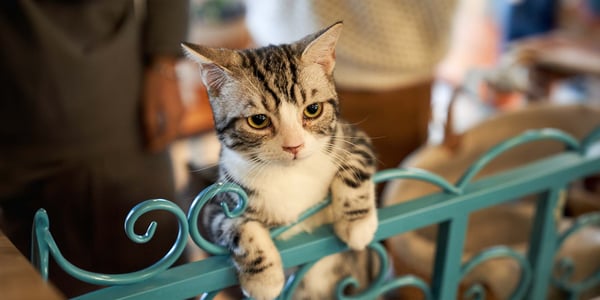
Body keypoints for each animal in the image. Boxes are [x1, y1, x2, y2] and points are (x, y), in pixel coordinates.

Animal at [183, 22, 380, 298]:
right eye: (258, 120)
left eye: (313, 109)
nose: (294, 145)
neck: (290, 174)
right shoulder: (217, 204)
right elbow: (235, 227)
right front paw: (264, 281)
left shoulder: (353, 137)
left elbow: (355, 168)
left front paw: (357, 225)